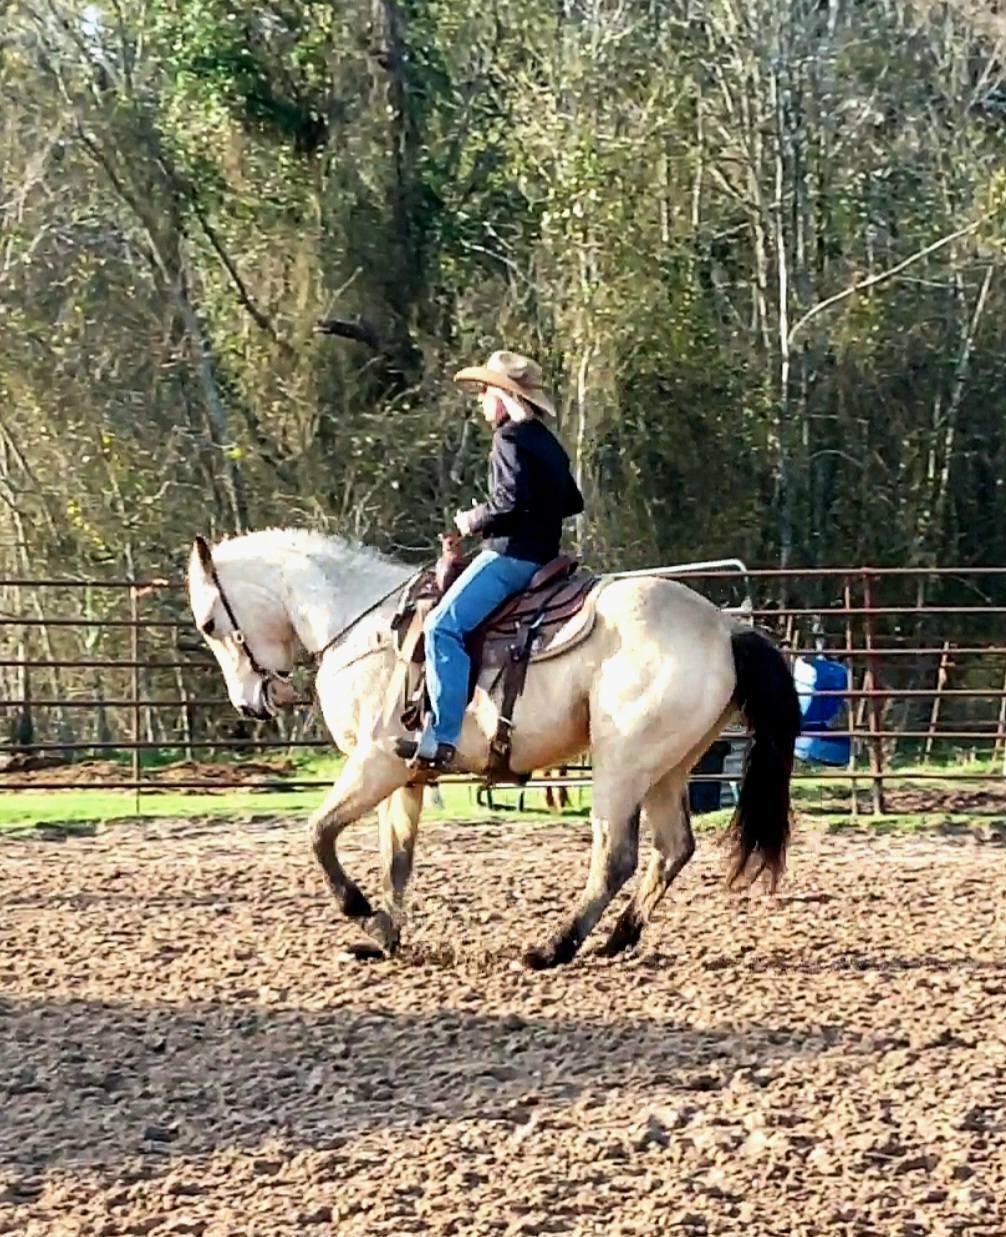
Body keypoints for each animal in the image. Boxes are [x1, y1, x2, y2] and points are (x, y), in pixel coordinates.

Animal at [187, 528, 801, 969]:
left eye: (210, 623)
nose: (249, 704)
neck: (367, 629)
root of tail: (725, 628)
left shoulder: (374, 763)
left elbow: (319, 834)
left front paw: (363, 916)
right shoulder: (406, 776)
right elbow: (397, 859)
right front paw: (385, 936)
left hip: (621, 766)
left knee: (615, 856)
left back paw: (553, 947)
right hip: (668, 769)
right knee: (671, 850)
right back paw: (618, 939)